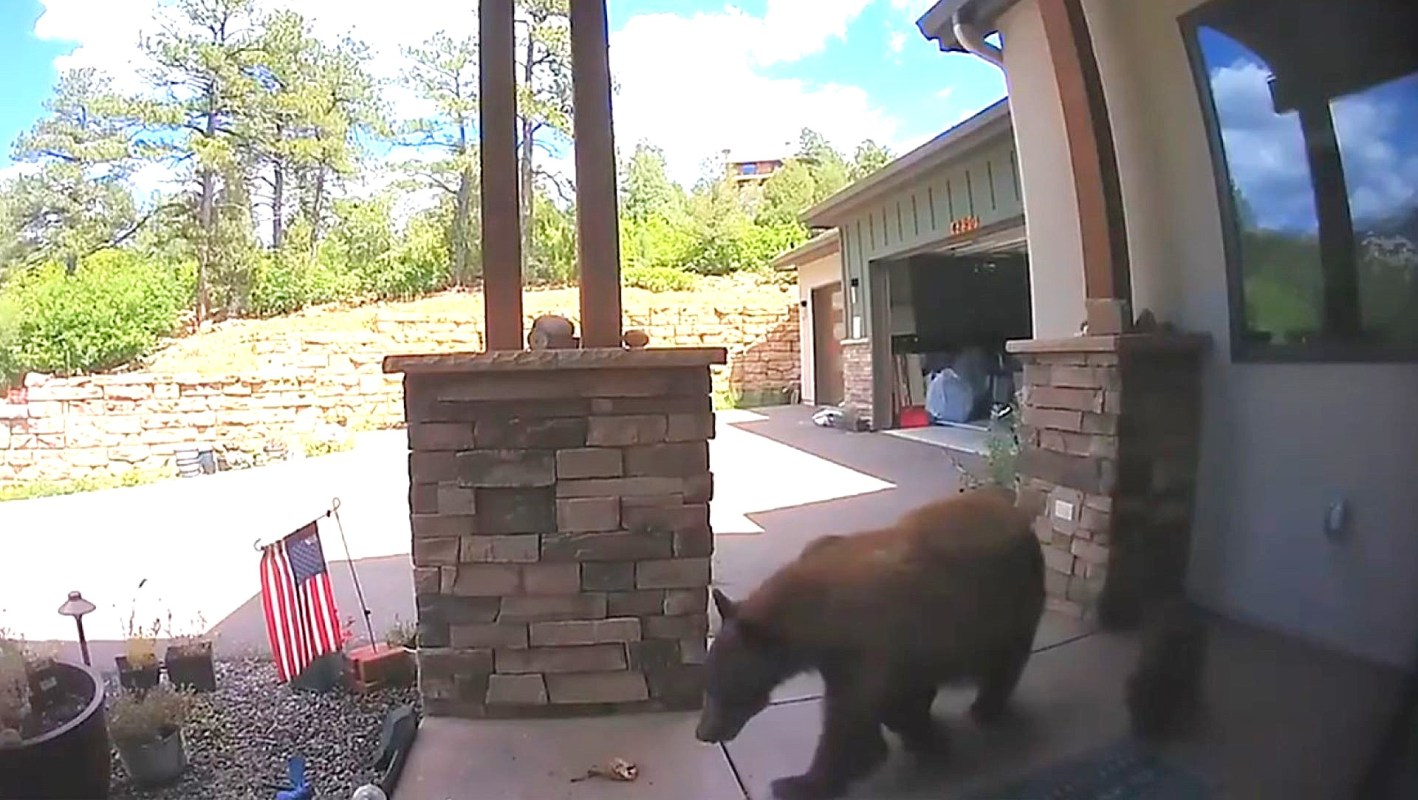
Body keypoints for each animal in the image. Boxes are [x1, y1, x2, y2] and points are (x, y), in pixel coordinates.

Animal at [694, 487, 1045, 800]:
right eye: (708, 683)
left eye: (720, 688)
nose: (703, 733)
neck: (818, 620)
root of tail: (1019, 516)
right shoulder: (857, 657)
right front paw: (918, 734)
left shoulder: (867, 644)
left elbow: (847, 720)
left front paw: (799, 783)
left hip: (1007, 603)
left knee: (1005, 661)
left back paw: (986, 707)